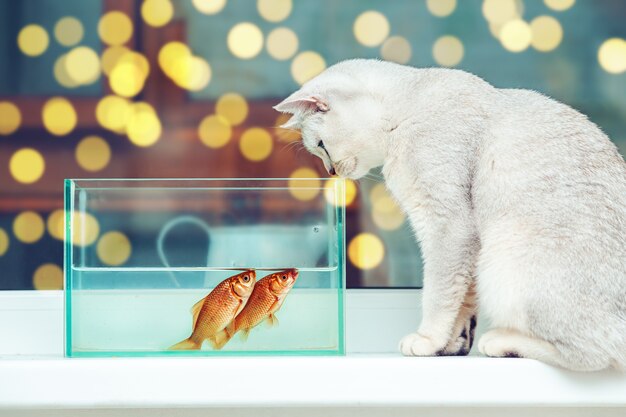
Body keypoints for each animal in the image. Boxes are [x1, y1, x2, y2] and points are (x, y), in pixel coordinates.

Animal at [276, 58, 624, 370]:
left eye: (320, 145)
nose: (331, 172)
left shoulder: (447, 224)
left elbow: (438, 292)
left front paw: (427, 340)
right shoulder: (465, 241)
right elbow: (462, 301)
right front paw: (451, 345)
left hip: (503, 260)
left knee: (593, 354)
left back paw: (501, 342)